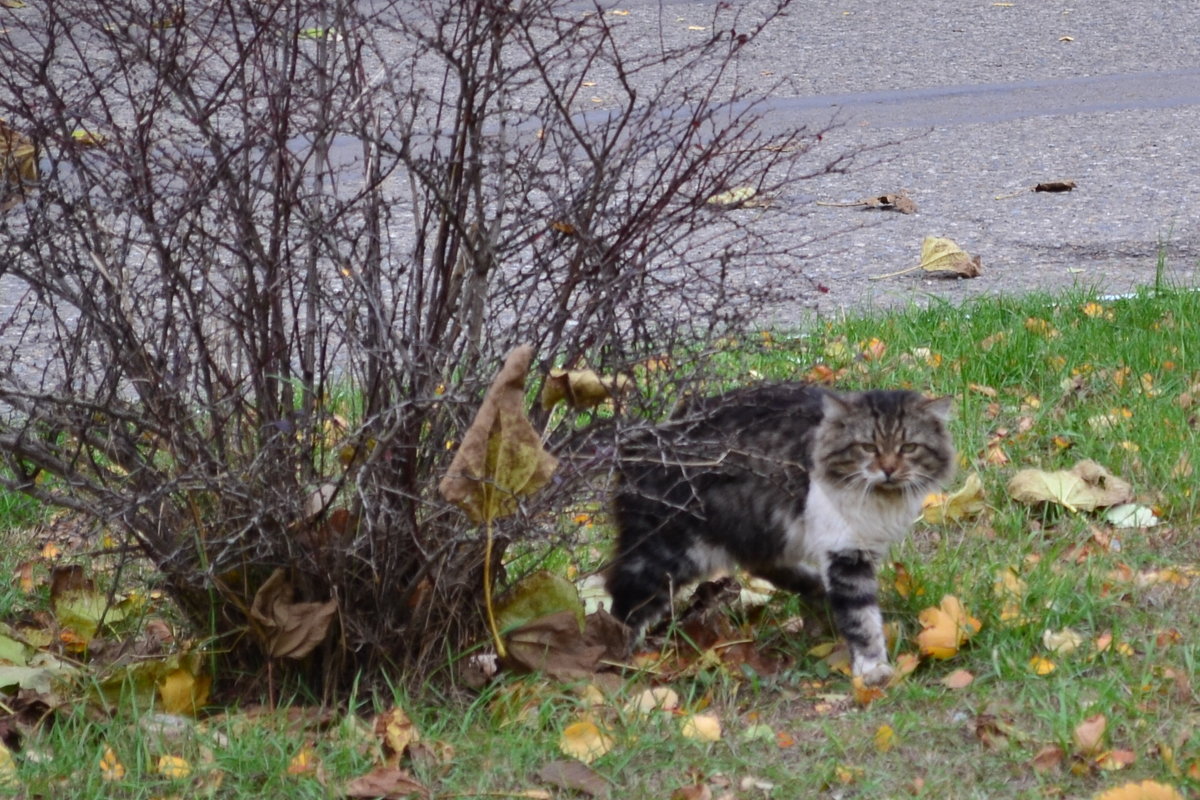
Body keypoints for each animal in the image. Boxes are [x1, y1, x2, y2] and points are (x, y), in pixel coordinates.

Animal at [609, 383, 955, 686]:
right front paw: (873, 669)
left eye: (908, 448)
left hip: (756, 533)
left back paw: (816, 591)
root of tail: (639, 443)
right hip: (669, 553)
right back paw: (619, 659)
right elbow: (863, 620)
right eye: (867, 447)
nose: (889, 470)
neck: (882, 501)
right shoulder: (846, 552)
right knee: (623, 598)